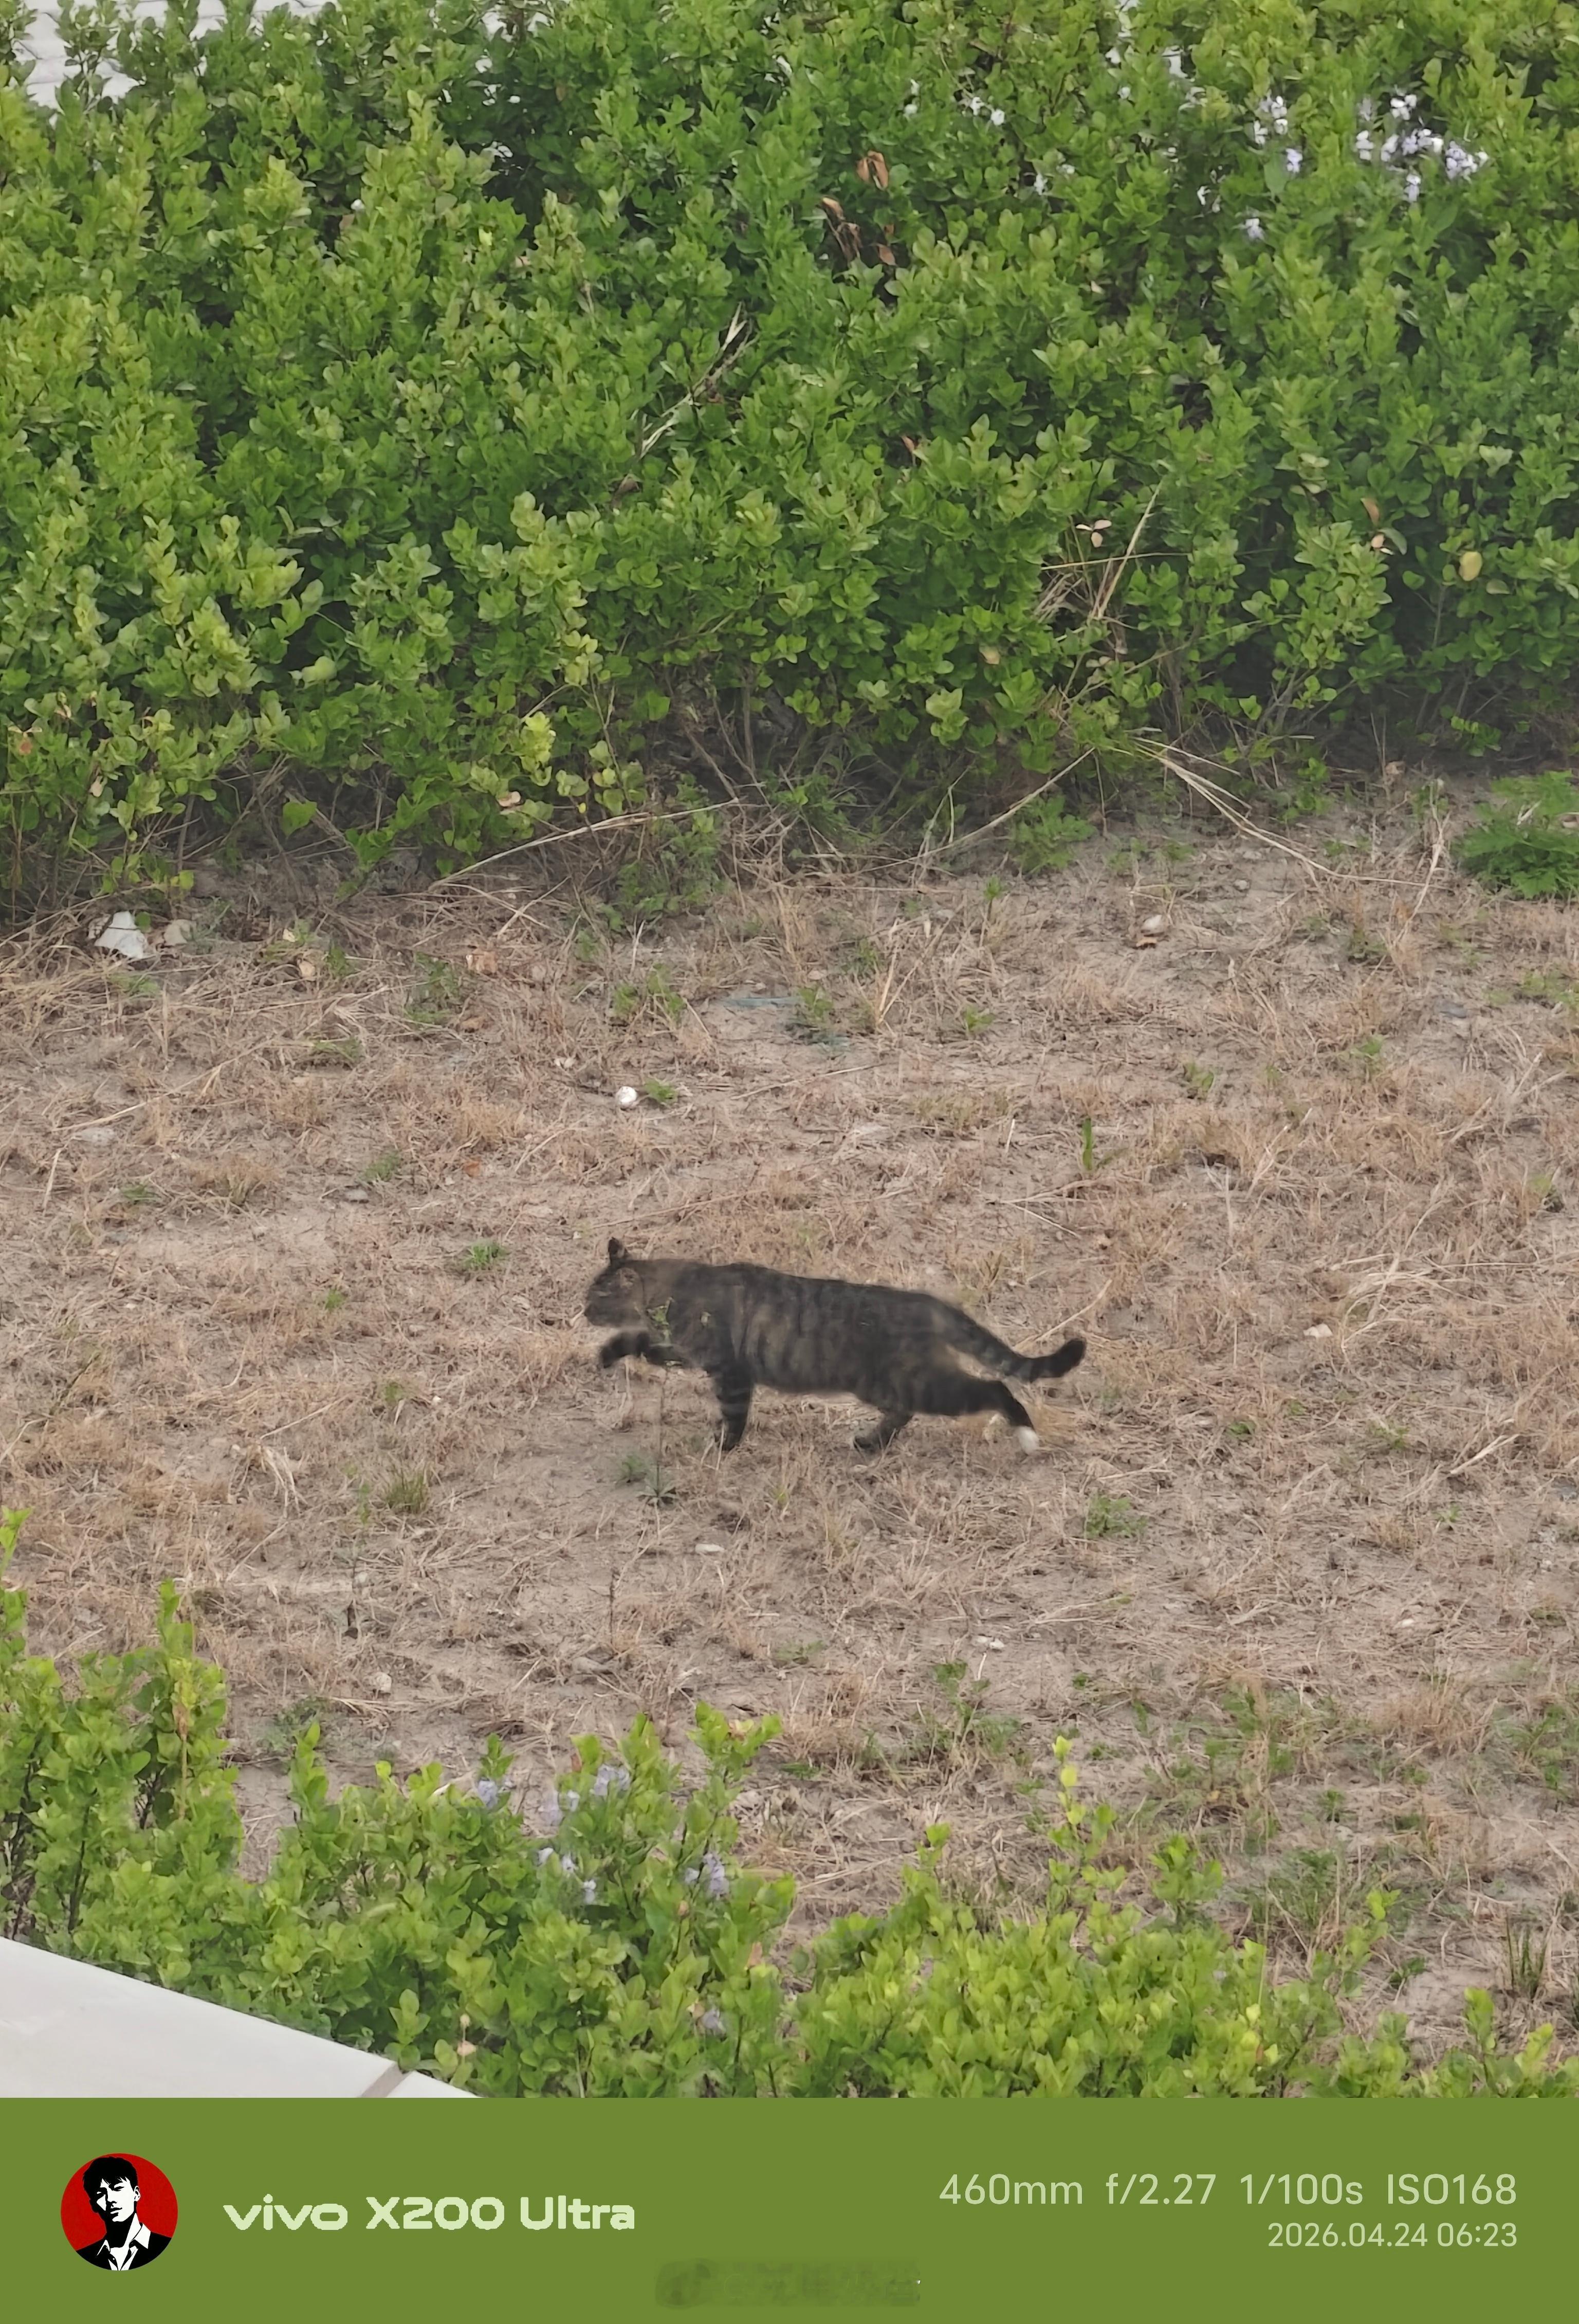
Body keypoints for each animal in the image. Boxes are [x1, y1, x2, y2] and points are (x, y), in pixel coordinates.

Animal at [584, 1239, 1085, 1455]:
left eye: (596, 1296)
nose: (583, 1311)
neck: (674, 1288)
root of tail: (929, 1304)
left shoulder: (731, 1372)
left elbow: (734, 1417)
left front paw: (724, 1446)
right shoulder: (691, 1351)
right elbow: (641, 1341)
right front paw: (611, 1354)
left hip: (922, 1382)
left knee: (995, 1390)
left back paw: (1027, 1435)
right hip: (881, 1385)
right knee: (903, 1413)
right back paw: (870, 1443)